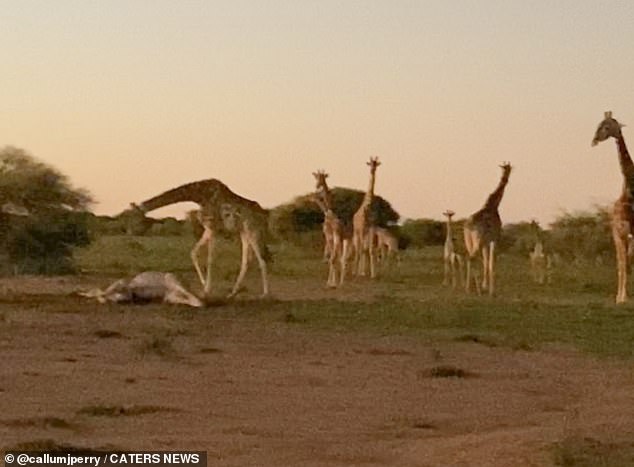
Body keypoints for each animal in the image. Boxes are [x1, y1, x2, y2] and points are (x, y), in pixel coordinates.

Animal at [123, 179, 270, 300]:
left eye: (134, 217)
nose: (129, 231)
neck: (198, 195)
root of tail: (264, 215)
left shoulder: (212, 227)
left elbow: (210, 260)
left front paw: (207, 290)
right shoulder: (207, 229)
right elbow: (193, 252)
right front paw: (203, 286)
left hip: (253, 230)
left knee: (262, 260)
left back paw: (265, 294)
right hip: (243, 232)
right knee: (247, 260)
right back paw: (233, 293)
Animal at [462, 163, 512, 296]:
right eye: (508, 168)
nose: (506, 177)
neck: (493, 205)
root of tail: (468, 226)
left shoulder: (486, 242)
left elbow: (486, 262)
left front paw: (485, 286)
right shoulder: (495, 239)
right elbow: (491, 263)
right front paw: (491, 290)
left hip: (469, 242)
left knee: (469, 258)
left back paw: (468, 289)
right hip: (478, 241)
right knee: (472, 258)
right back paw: (477, 290)